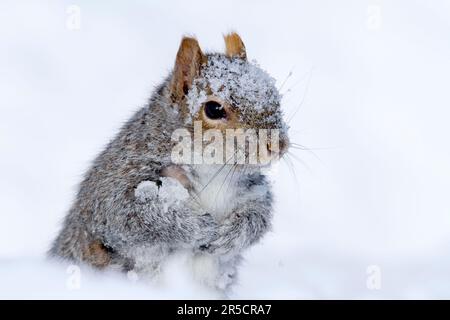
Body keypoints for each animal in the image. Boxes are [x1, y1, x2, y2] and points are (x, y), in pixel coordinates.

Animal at [49, 33, 288, 296]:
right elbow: (132, 216)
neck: (215, 169)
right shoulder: (119, 180)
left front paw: (234, 233)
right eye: (214, 109)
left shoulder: (251, 188)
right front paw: (198, 227)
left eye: (275, 95)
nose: (278, 145)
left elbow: (259, 214)